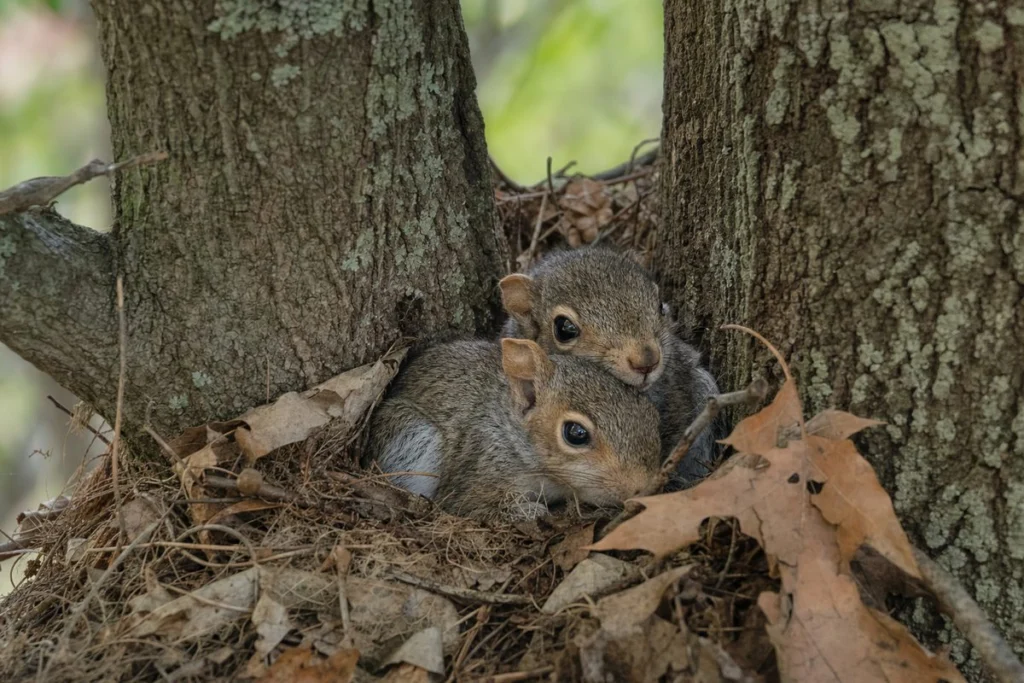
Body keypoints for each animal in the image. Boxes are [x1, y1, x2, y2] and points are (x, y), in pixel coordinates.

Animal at [366, 338, 661, 522]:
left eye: (650, 412)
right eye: (575, 433)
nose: (642, 487)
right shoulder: (479, 470)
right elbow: (469, 505)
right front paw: (534, 512)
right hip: (413, 438)